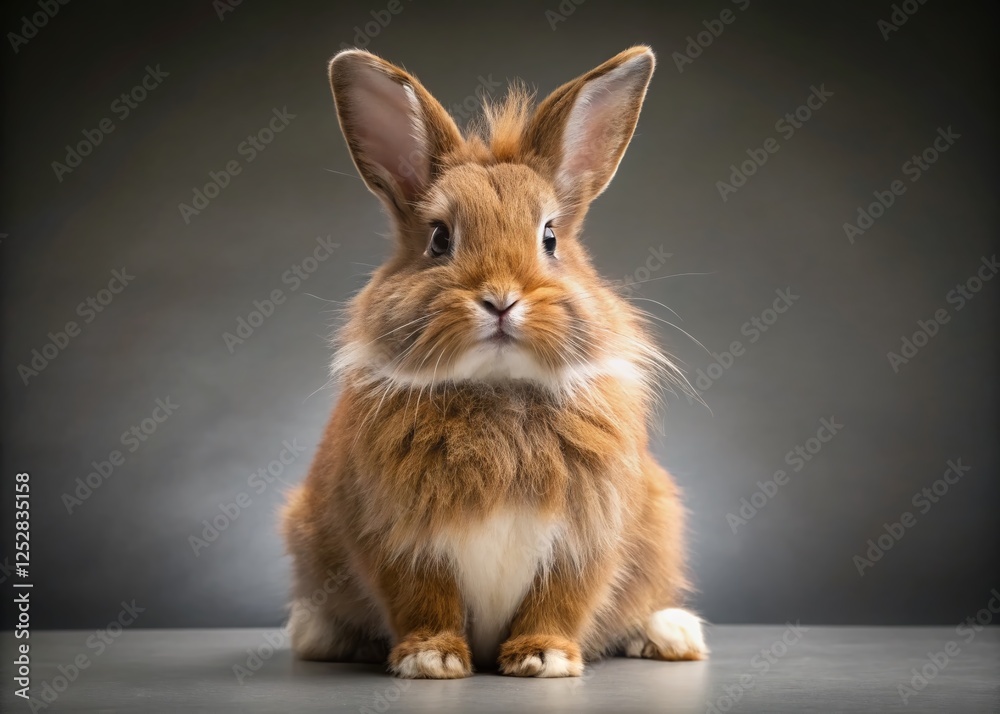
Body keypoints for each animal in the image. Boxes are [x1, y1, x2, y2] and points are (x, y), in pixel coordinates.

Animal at [281, 44, 707, 679]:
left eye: (550, 237)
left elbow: (560, 602)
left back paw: (673, 634)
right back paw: (316, 633)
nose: (502, 298)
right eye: (439, 238)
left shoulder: (586, 540)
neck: (497, 391)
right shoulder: (398, 540)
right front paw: (432, 659)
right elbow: (422, 600)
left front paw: (543, 658)